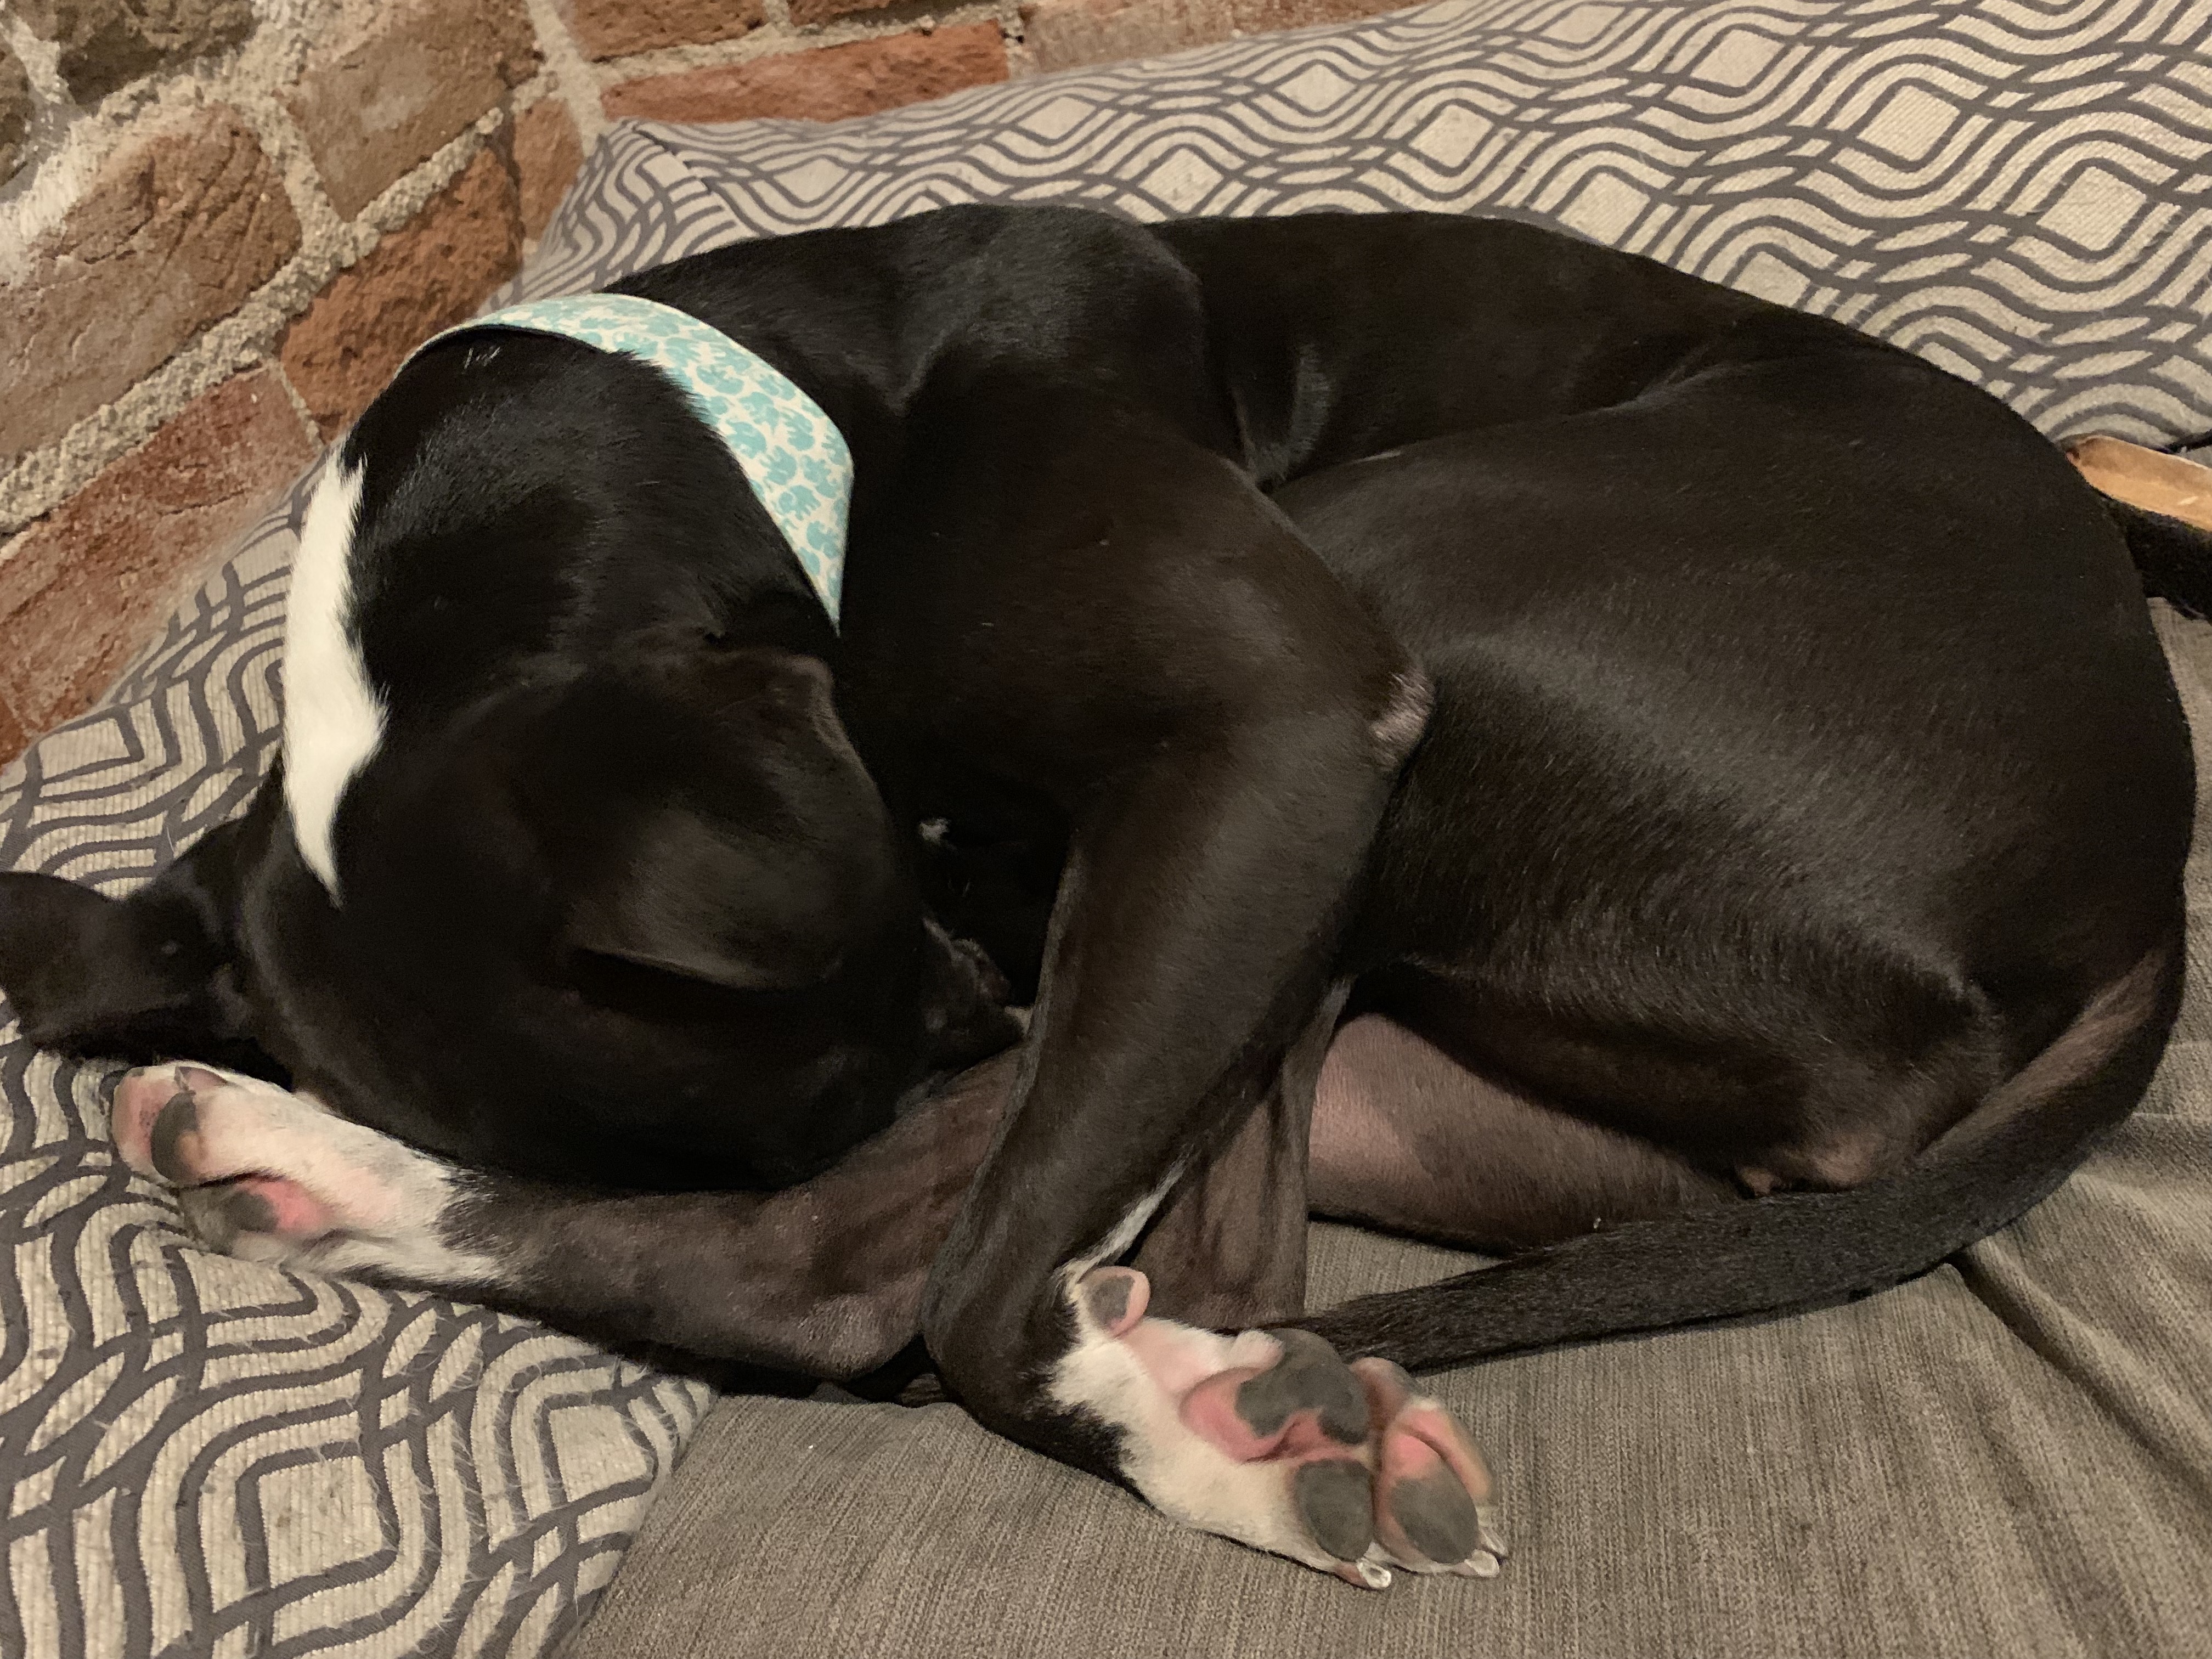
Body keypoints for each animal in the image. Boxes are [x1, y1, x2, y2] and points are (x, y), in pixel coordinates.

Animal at [1, 206, 2203, 1587]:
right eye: (899, 970)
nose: (974, 997)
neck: (790, 419)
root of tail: (2141, 896)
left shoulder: (1274, 727)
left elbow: (973, 1292)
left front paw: (1189, 1437)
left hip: (1375, 628)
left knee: (966, 1274)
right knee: (981, 1263)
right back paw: (290, 1164)